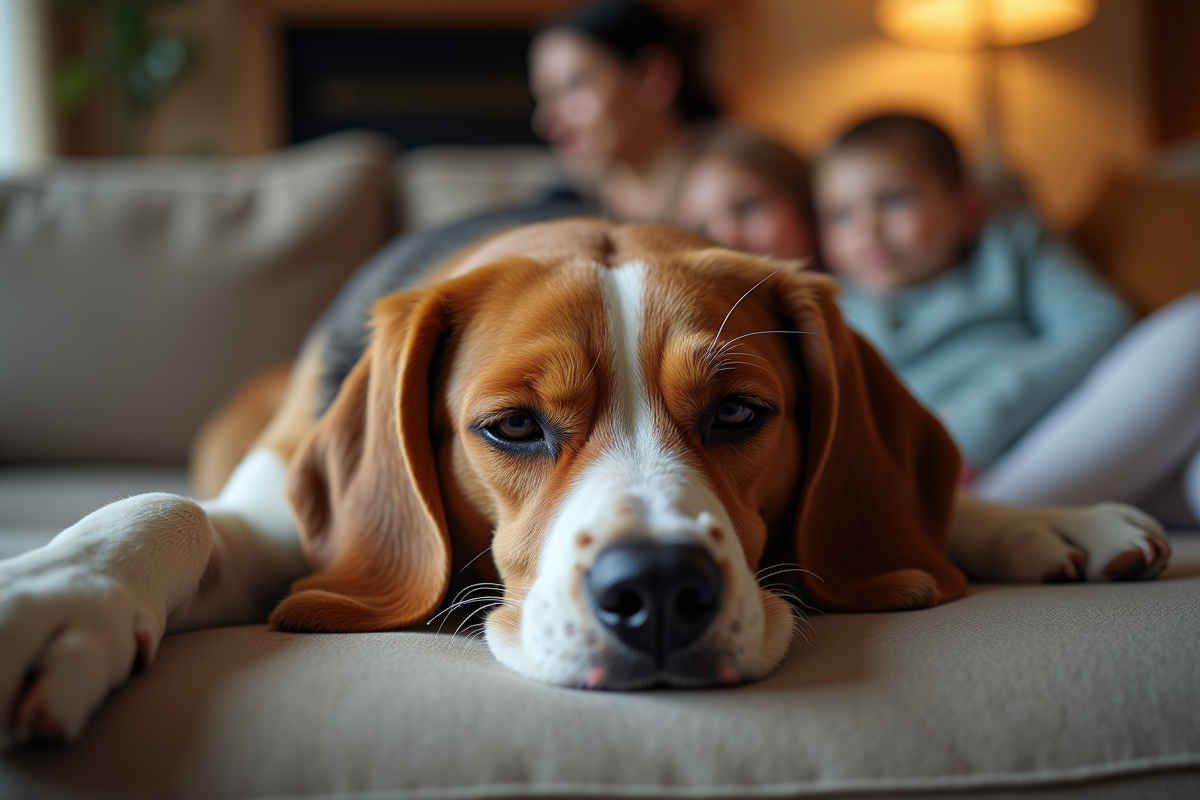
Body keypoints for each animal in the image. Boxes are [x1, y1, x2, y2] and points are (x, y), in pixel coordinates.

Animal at [0, 212, 1166, 743]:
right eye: (512, 426)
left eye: (738, 413)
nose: (656, 591)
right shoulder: (277, 522)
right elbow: (165, 511)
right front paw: (61, 597)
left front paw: (1029, 519)